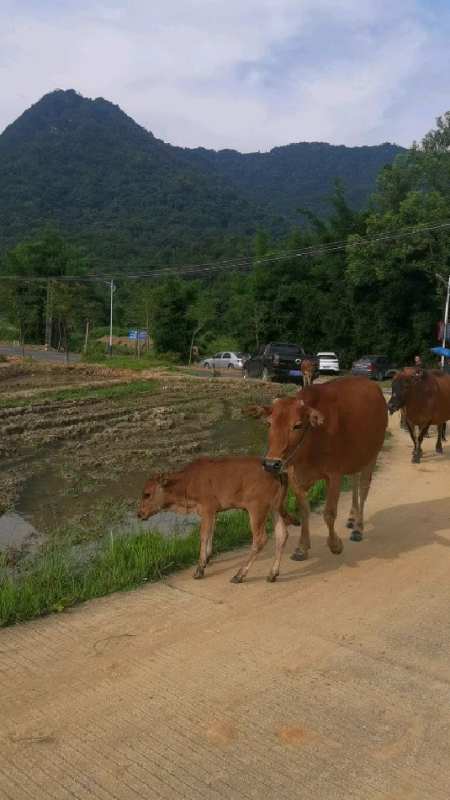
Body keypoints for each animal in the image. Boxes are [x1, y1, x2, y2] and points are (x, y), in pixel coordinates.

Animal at [139, 456, 298, 580]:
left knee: (260, 539)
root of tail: (278, 471)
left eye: (147, 494)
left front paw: (200, 569)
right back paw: (272, 574)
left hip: (256, 510)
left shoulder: (207, 510)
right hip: (274, 509)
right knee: (281, 535)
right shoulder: (214, 512)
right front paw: (207, 558)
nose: (139, 514)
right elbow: (211, 533)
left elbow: (203, 536)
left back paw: (239, 575)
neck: (188, 481)